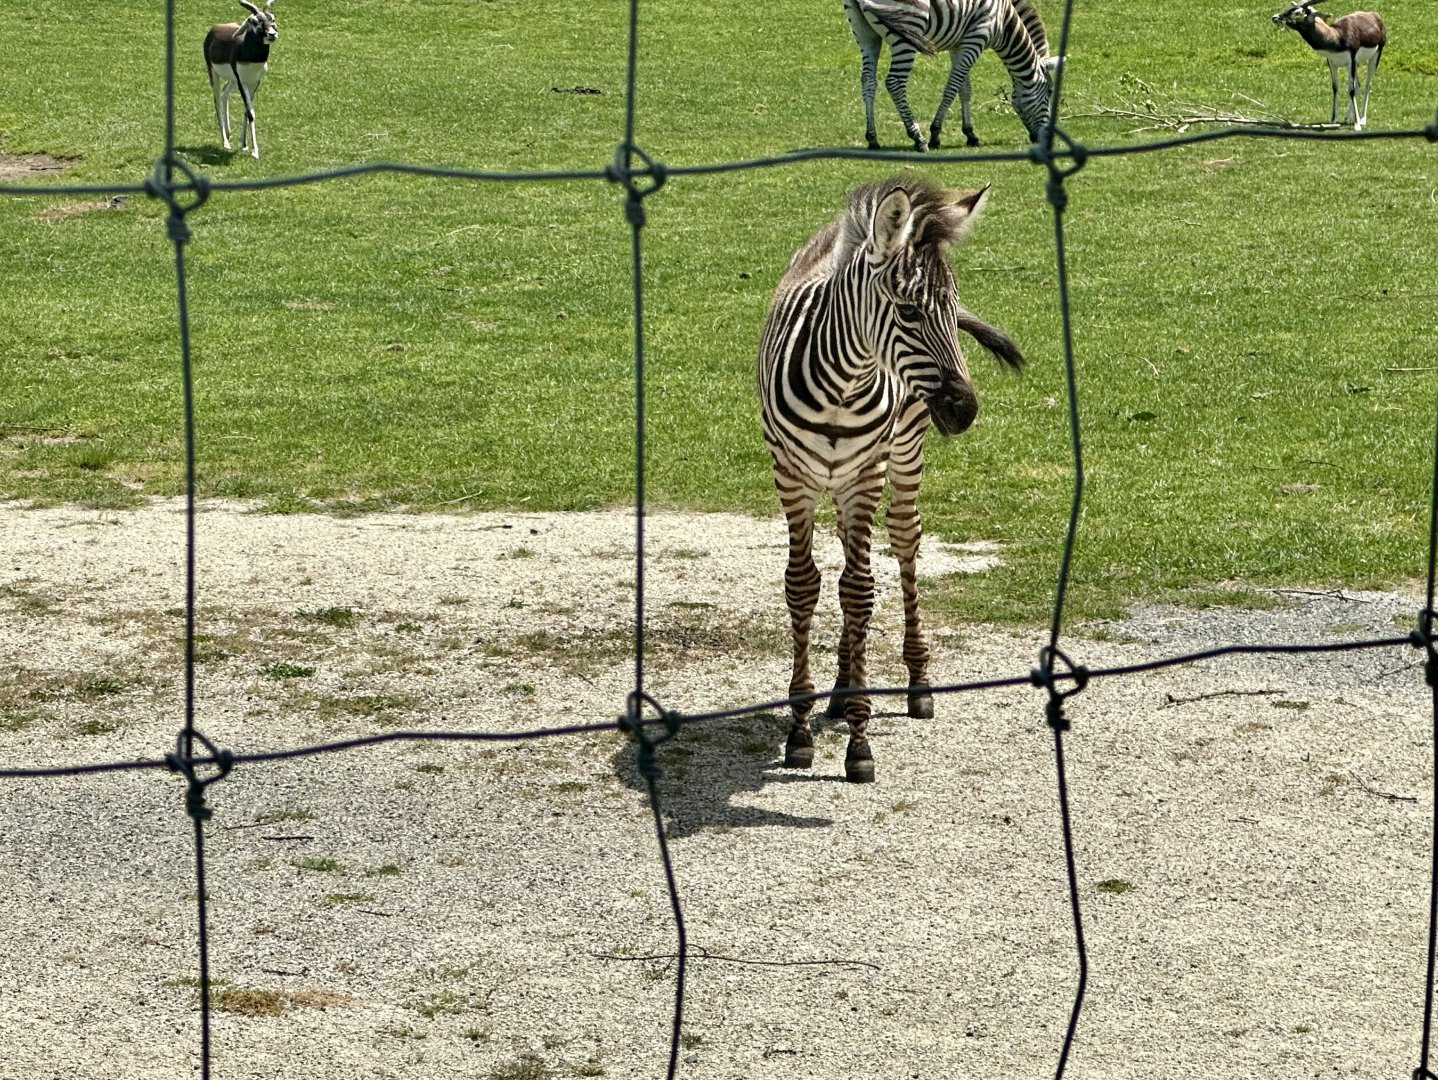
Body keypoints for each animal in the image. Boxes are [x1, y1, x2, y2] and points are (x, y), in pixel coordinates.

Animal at [757, 176, 1025, 783]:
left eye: (954, 309)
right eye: (907, 312)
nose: (965, 410)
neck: (841, 385)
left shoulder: (866, 474)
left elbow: (858, 591)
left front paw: (859, 743)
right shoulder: (791, 475)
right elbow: (804, 585)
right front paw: (800, 730)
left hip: (900, 454)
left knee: (902, 543)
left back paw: (916, 684)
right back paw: (839, 688)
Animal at [844, 0, 1059, 150]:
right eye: (1049, 92)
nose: (1043, 138)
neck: (1005, 22)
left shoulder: (960, 44)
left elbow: (965, 89)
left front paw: (970, 134)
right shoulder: (977, 37)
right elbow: (952, 88)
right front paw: (935, 134)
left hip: (865, 34)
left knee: (868, 81)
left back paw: (872, 138)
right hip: (906, 32)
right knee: (894, 83)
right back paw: (918, 138)